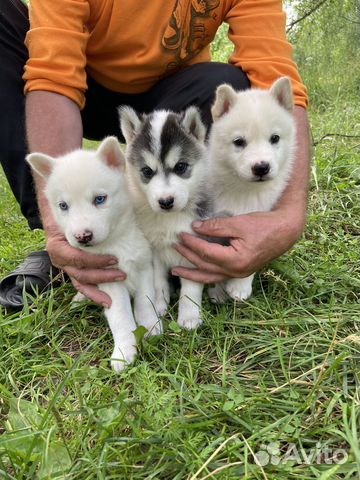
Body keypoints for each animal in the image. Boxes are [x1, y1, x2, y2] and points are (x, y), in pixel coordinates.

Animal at [25, 136, 160, 372]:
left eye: (99, 199)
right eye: (63, 205)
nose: (82, 236)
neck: (117, 242)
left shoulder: (144, 266)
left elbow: (145, 301)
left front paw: (150, 327)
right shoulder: (109, 280)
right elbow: (120, 317)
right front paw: (123, 351)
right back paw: (80, 298)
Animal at [120, 106, 211, 330]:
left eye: (180, 167)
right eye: (147, 171)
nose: (166, 201)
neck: (170, 219)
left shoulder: (195, 249)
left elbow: (190, 288)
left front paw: (189, 316)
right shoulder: (152, 250)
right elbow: (157, 280)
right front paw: (159, 304)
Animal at [207, 78, 296, 304]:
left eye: (275, 138)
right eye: (239, 142)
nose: (261, 167)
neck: (244, 190)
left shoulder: (255, 223)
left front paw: (239, 286)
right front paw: (217, 290)